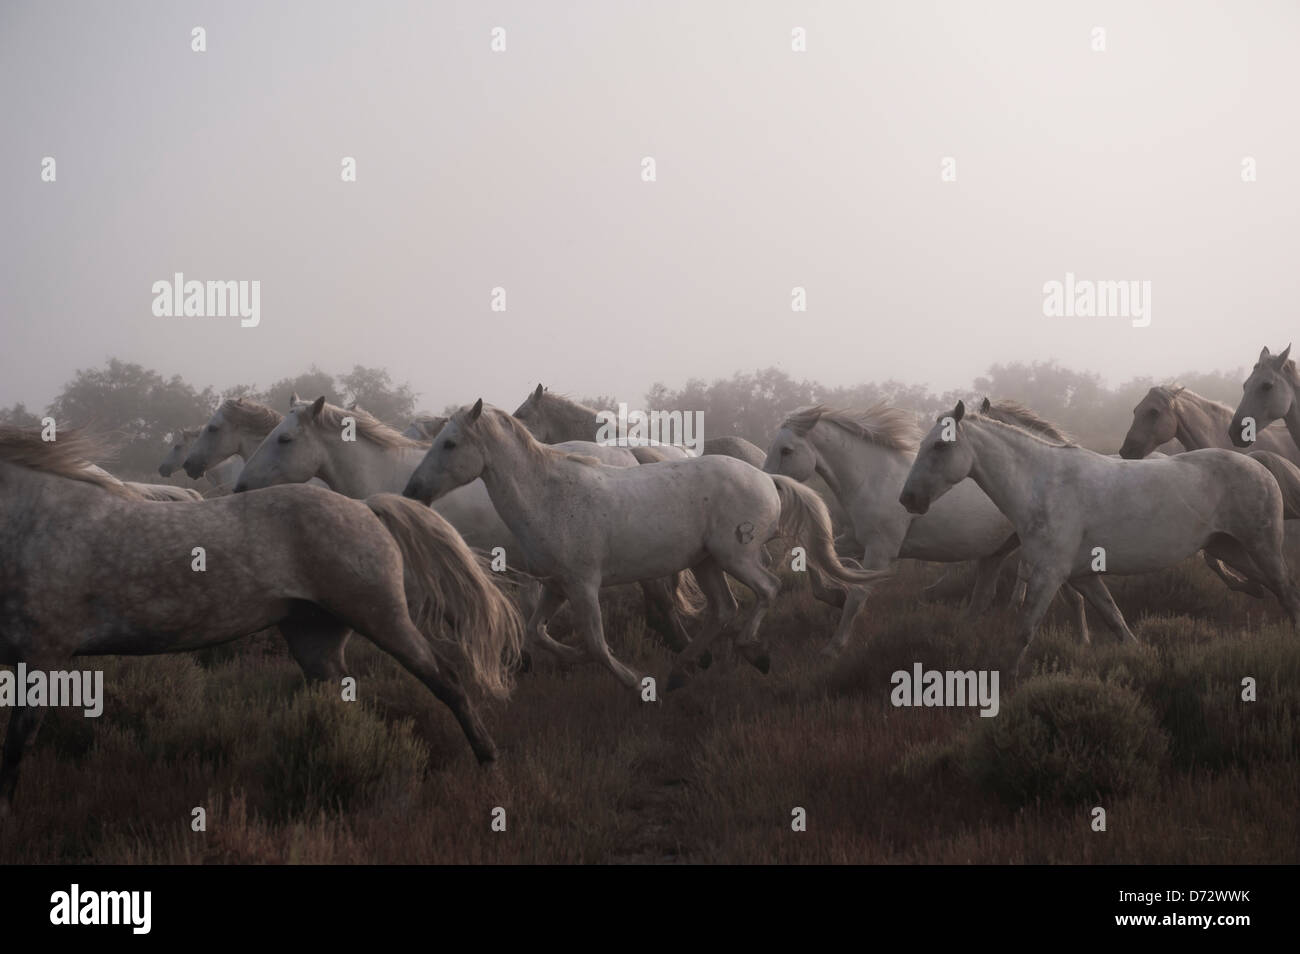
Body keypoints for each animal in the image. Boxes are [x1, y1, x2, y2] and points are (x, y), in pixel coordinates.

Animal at [400, 402, 878, 696]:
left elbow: (596, 642)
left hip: (734, 556)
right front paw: (569, 658)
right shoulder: (557, 585)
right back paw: (681, 670)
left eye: (450, 443)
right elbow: (538, 630)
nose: (413, 490)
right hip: (706, 563)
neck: (550, 496)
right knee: (723, 609)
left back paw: (752, 651)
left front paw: (631, 682)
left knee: (767, 589)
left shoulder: (583, 585)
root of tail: (766, 477)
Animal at [904, 402, 1300, 670]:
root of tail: (1258, 463)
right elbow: (1116, 622)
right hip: (1231, 548)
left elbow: (1025, 631)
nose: (908, 498)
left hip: (1261, 546)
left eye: (940, 446)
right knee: (1273, 587)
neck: (1043, 484)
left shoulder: (1049, 574)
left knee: (1286, 591)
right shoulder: (1083, 576)